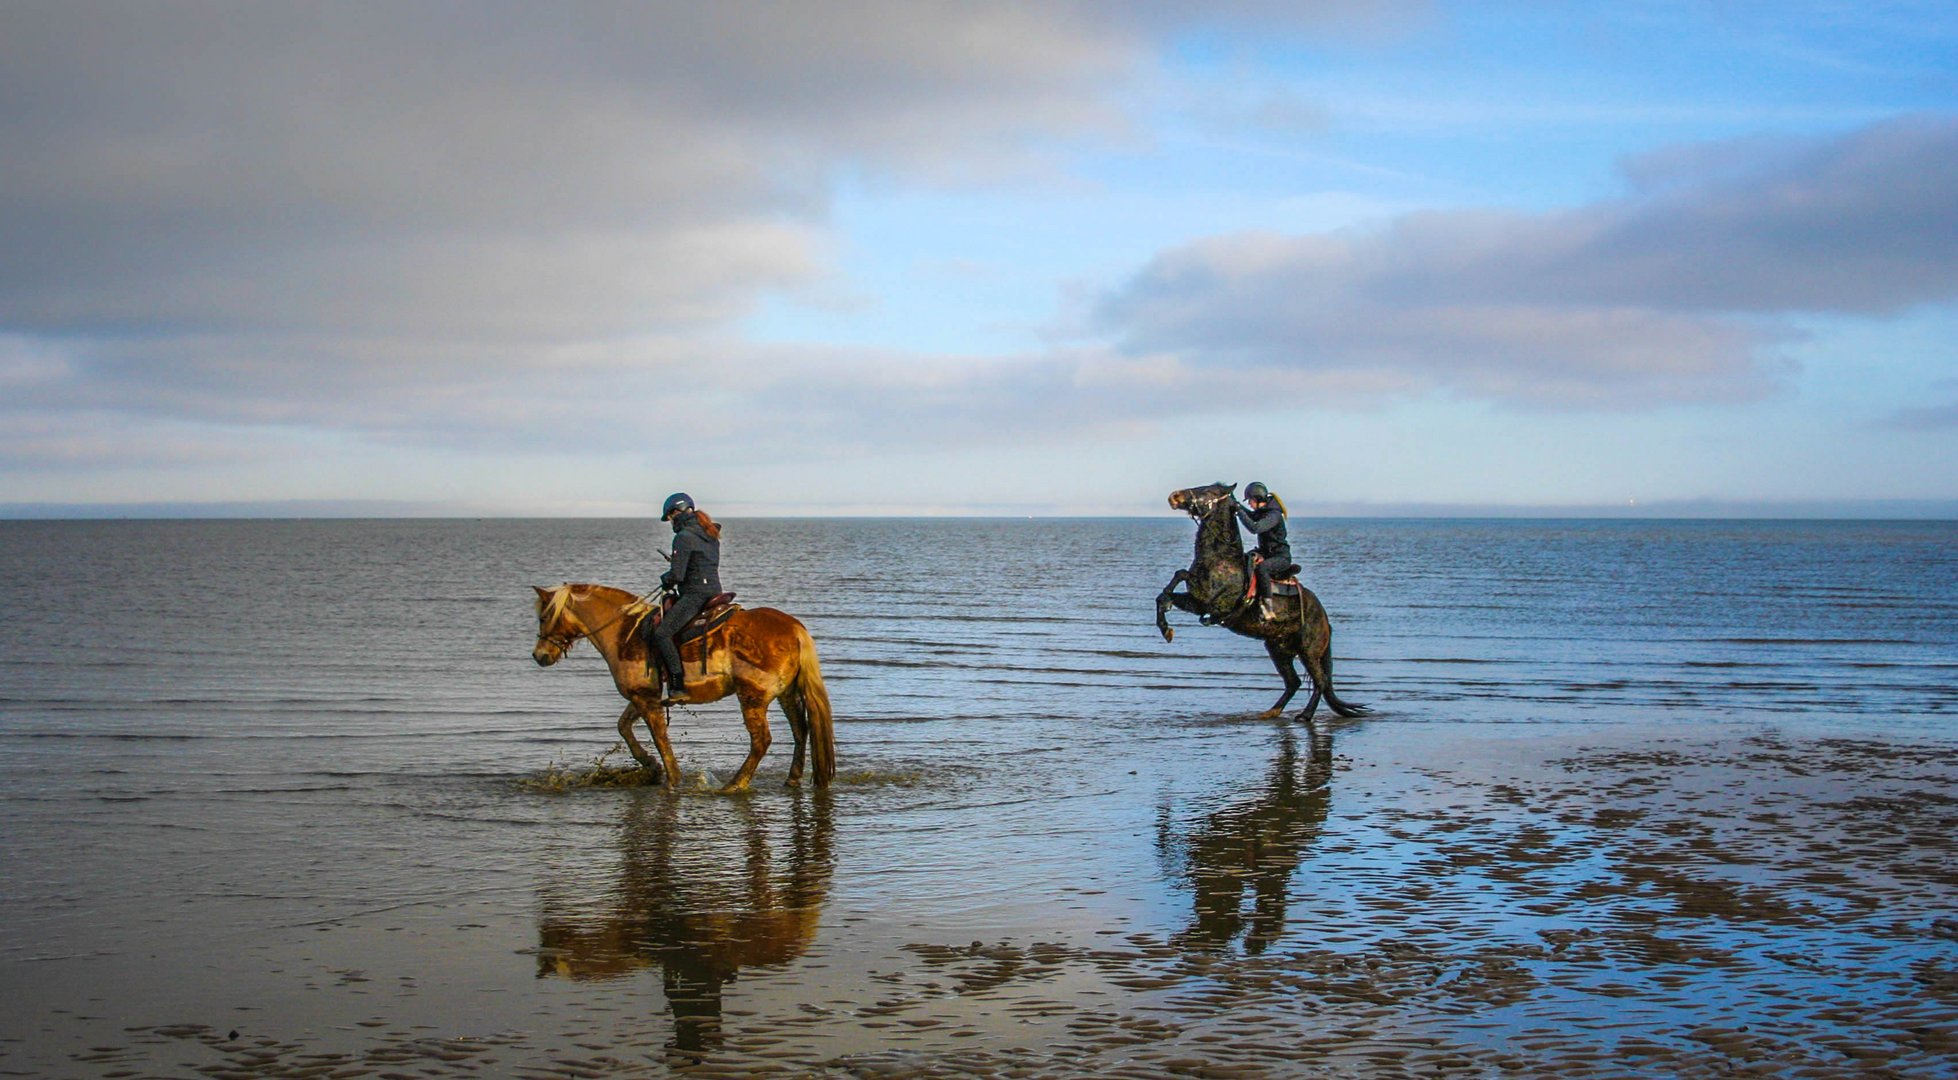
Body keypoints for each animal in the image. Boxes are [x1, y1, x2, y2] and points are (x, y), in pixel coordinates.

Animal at [532, 583, 838, 794]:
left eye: (543, 617)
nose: (539, 655)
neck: (624, 633)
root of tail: (794, 629)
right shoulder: (645, 696)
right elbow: (624, 726)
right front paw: (651, 766)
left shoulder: (646, 699)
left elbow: (660, 738)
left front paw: (672, 778)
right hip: (786, 694)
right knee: (800, 730)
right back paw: (792, 778)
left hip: (753, 696)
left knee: (761, 740)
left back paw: (734, 784)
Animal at [1151, 483, 1370, 720]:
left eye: (1207, 490)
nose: (1174, 496)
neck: (1222, 559)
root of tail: (1325, 619)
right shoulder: (1195, 602)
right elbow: (1167, 591)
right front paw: (1166, 628)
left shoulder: (1211, 603)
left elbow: (1181, 574)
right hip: (1277, 649)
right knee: (1294, 682)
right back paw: (1271, 712)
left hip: (1308, 651)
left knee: (1319, 682)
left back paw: (1305, 715)